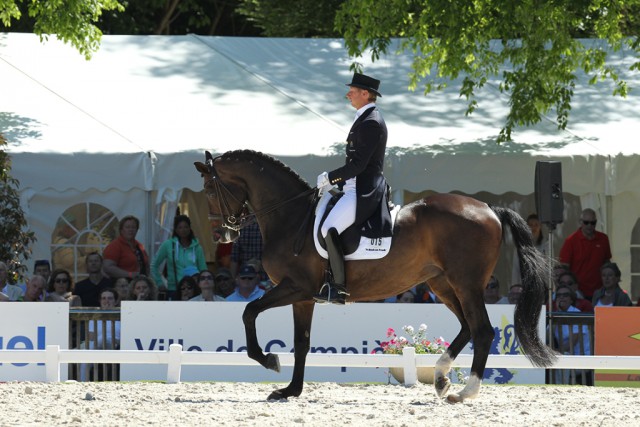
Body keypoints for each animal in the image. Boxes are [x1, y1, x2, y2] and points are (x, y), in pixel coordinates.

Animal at [194, 150, 556, 404]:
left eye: (210, 189)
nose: (222, 235)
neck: (291, 215)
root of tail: (490, 209)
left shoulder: (294, 287)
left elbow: (249, 311)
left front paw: (269, 361)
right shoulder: (304, 296)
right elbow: (302, 343)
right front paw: (290, 390)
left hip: (466, 284)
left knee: (481, 331)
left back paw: (464, 392)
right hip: (441, 283)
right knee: (467, 327)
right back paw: (440, 378)